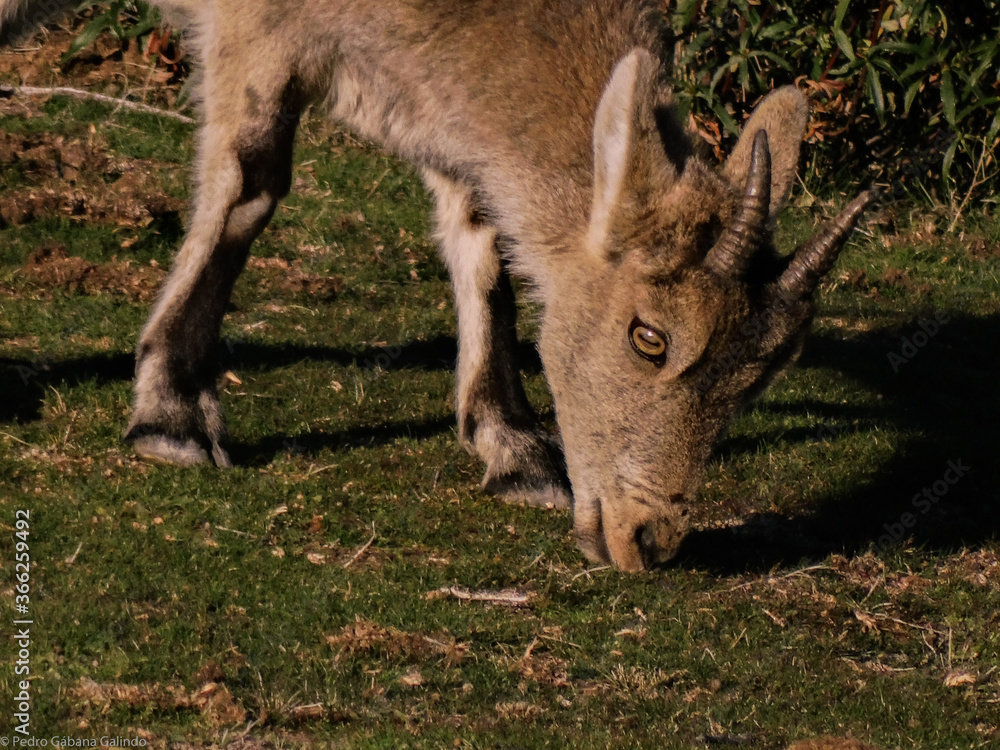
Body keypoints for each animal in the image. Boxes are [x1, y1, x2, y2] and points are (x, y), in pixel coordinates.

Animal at [2, 0, 871, 571]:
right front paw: (170, 414)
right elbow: (248, 178)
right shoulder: (259, 26)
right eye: (649, 336)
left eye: (763, 375)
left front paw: (514, 447)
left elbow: (479, 225)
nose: (646, 539)